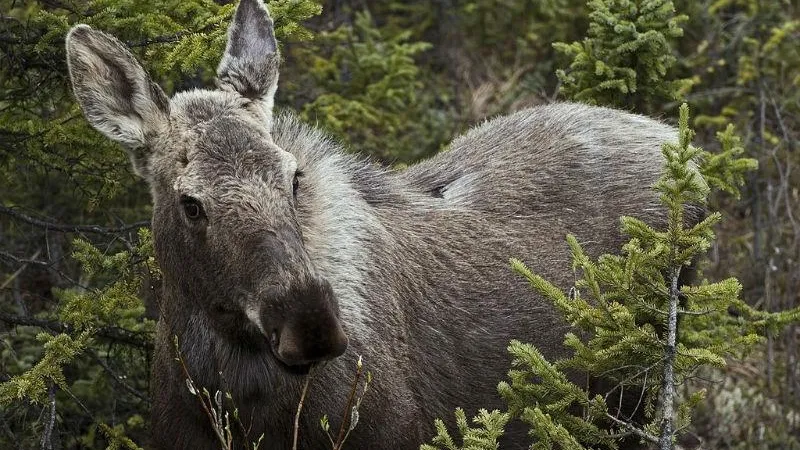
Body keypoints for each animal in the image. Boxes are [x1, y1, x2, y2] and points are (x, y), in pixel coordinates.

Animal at [65, 0, 704, 448]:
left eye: (293, 177)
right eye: (190, 203)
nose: (312, 323)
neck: (233, 390)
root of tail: (685, 151)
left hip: (637, 389)